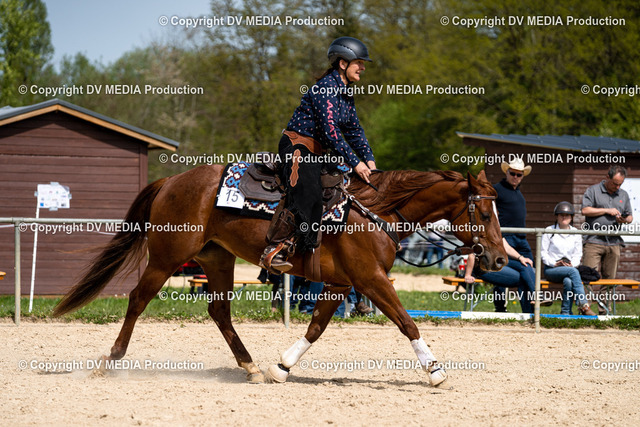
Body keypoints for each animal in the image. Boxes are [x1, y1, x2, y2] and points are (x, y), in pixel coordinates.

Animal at [53, 166, 507, 386]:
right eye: (484, 214)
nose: (500, 259)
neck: (374, 211)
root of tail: (172, 180)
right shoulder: (370, 280)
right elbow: (406, 322)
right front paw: (436, 371)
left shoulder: (341, 284)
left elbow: (316, 328)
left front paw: (281, 368)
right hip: (167, 259)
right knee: (136, 300)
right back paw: (108, 362)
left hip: (217, 259)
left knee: (219, 312)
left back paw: (251, 367)